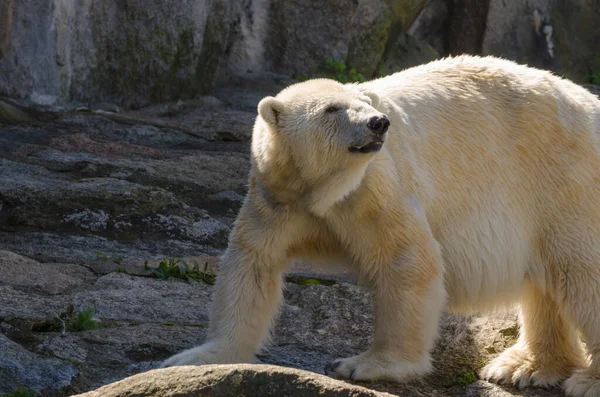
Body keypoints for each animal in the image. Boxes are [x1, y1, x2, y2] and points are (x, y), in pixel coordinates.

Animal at [163, 55, 600, 396]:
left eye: (362, 101)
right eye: (331, 109)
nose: (379, 123)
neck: (320, 191)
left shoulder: (374, 189)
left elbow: (406, 260)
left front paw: (365, 364)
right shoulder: (276, 197)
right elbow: (251, 265)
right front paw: (197, 357)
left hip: (565, 178)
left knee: (579, 271)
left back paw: (582, 379)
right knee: (548, 279)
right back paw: (526, 366)